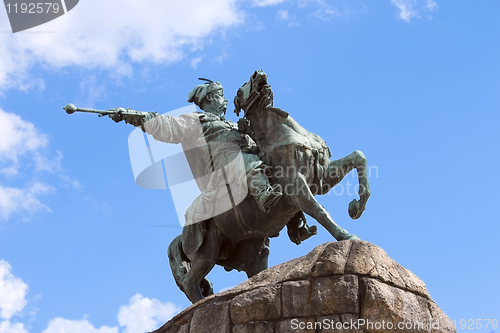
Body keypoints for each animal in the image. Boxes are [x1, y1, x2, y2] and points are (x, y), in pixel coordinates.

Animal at [169, 70, 372, 304]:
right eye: (241, 88)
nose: (259, 73)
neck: (283, 133)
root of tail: (182, 233)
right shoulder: (296, 186)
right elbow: (320, 210)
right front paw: (346, 236)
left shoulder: (321, 178)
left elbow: (359, 157)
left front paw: (357, 206)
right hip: (207, 252)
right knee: (189, 281)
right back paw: (203, 302)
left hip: (255, 253)